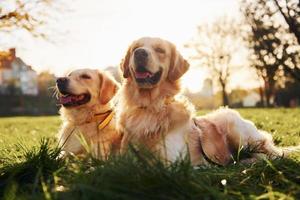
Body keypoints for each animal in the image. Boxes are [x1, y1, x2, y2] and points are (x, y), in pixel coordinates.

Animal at [118, 37, 300, 166]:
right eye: (135, 48)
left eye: (160, 50)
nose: (139, 53)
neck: (150, 106)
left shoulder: (171, 163)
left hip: (236, 129)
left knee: (271, 155)